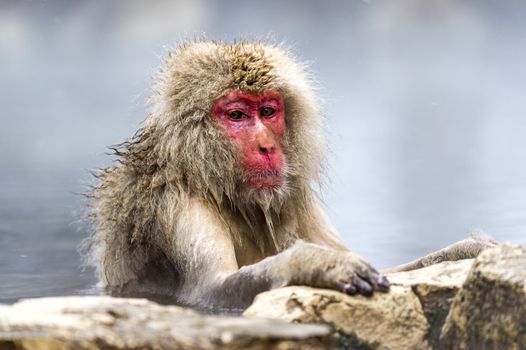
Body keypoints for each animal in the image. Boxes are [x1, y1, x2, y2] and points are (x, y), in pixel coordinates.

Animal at [85, 39, 496, 310]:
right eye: (237, 115)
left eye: (268, 111)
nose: (267, 146)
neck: (216, 183)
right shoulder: (177, 205)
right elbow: (208, 292)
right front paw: (316, 263)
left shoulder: (296, 196)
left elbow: (385, 270)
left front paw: (466, 250)